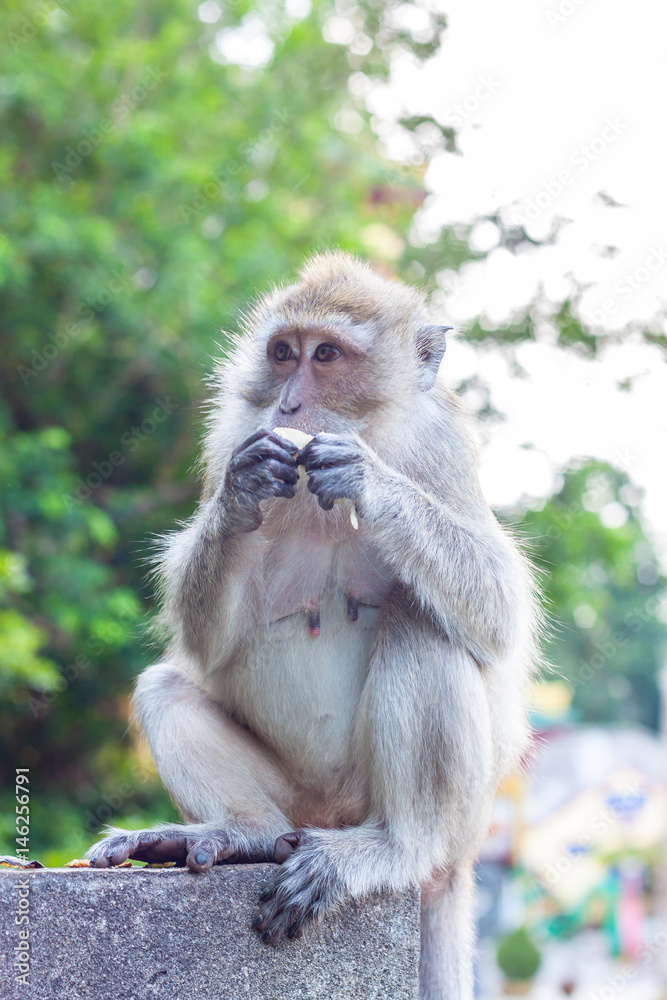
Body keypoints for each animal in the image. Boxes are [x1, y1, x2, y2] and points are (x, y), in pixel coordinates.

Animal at [87, 251, 538, 1000]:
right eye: (283, 354)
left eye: (326, 355)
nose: (289, 405)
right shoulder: (233, 431)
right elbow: (205, 643)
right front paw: (242, 491)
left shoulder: (440, 445)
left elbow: (499, 609)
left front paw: (367, 480)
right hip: (299, 803)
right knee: (164, 690)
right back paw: (242, 834)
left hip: (452, 813)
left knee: (425, 628)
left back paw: (396, 848)